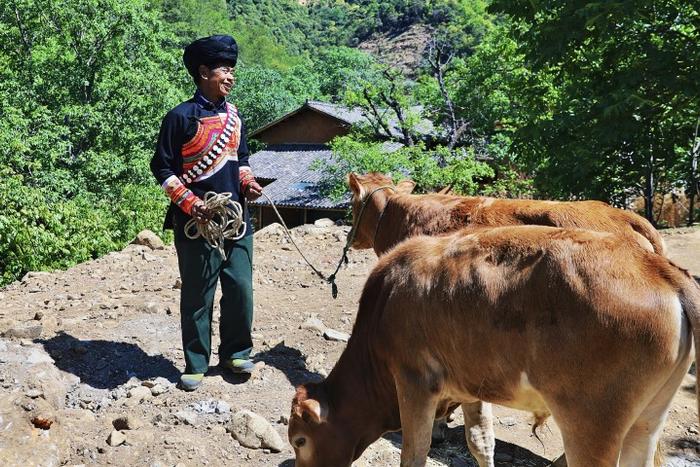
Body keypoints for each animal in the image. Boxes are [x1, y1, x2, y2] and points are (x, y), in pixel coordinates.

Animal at [288, 227, 696, 467]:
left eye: (300, 440)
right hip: (647, 418)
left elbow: (415, 452)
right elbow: (480, 441)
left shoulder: (414, 381)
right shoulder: (469, 385)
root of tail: (655, 266)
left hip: (592, 423)